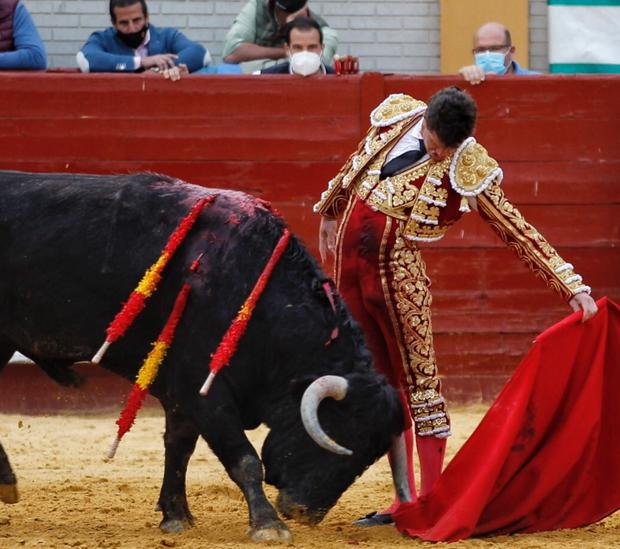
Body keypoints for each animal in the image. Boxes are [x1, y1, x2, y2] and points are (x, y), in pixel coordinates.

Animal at [0, 170, 404, 540]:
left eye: (368, 457)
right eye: (337, 432)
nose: (306, 513)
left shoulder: (181, 395)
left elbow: (179, 449)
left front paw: (176, 516)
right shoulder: (205, 392)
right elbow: (243, 459)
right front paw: (268, 525)